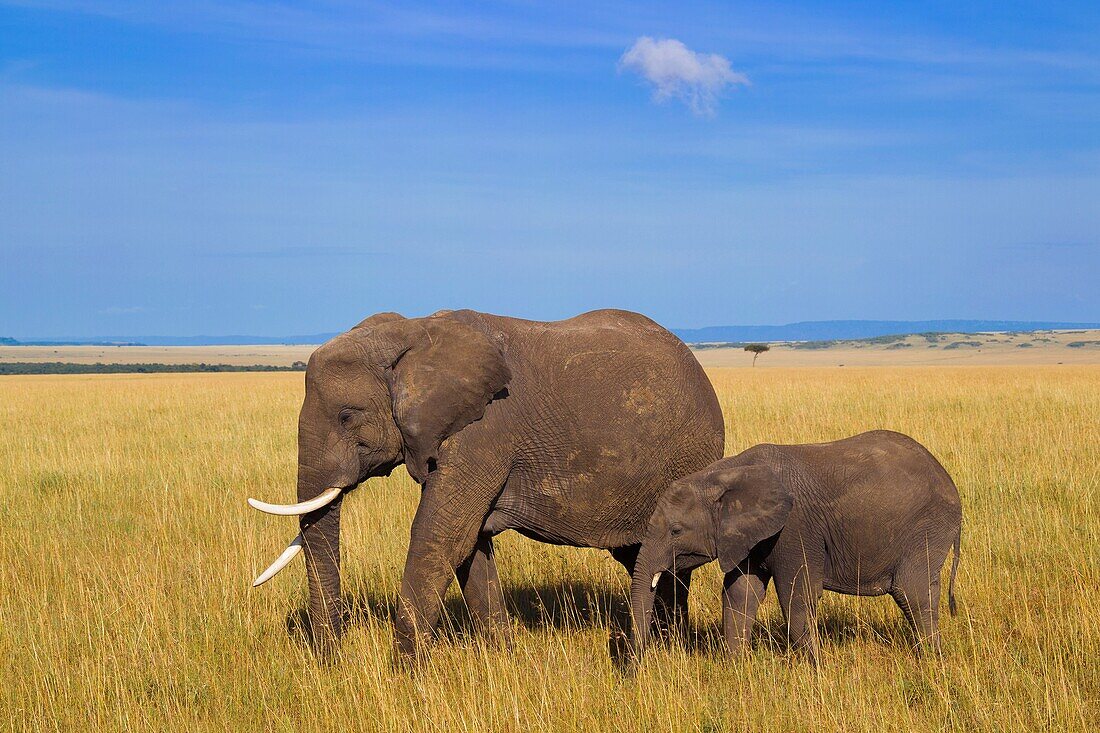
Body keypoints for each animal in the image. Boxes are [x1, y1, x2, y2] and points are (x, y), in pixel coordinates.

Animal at [251, 305, 726, 660]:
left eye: (347, 417)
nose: (333, 660)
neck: (412, 333)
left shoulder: (482, 431)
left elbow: (441, 537)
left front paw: (405, 676)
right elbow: (471, 547)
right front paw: (504, 658)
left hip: (688, 458)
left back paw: (669, 647)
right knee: (641, 559)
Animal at [629, 429, 963, 660]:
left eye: (675, 531)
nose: (637, 667)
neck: (724, 473)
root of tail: (948, 481)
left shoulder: (794, 528)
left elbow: (797, 597)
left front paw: (816, 670)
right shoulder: (750, 536)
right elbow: (741, 594)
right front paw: (736, 667)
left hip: (926, 528)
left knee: (913, 593)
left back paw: (931, 661)